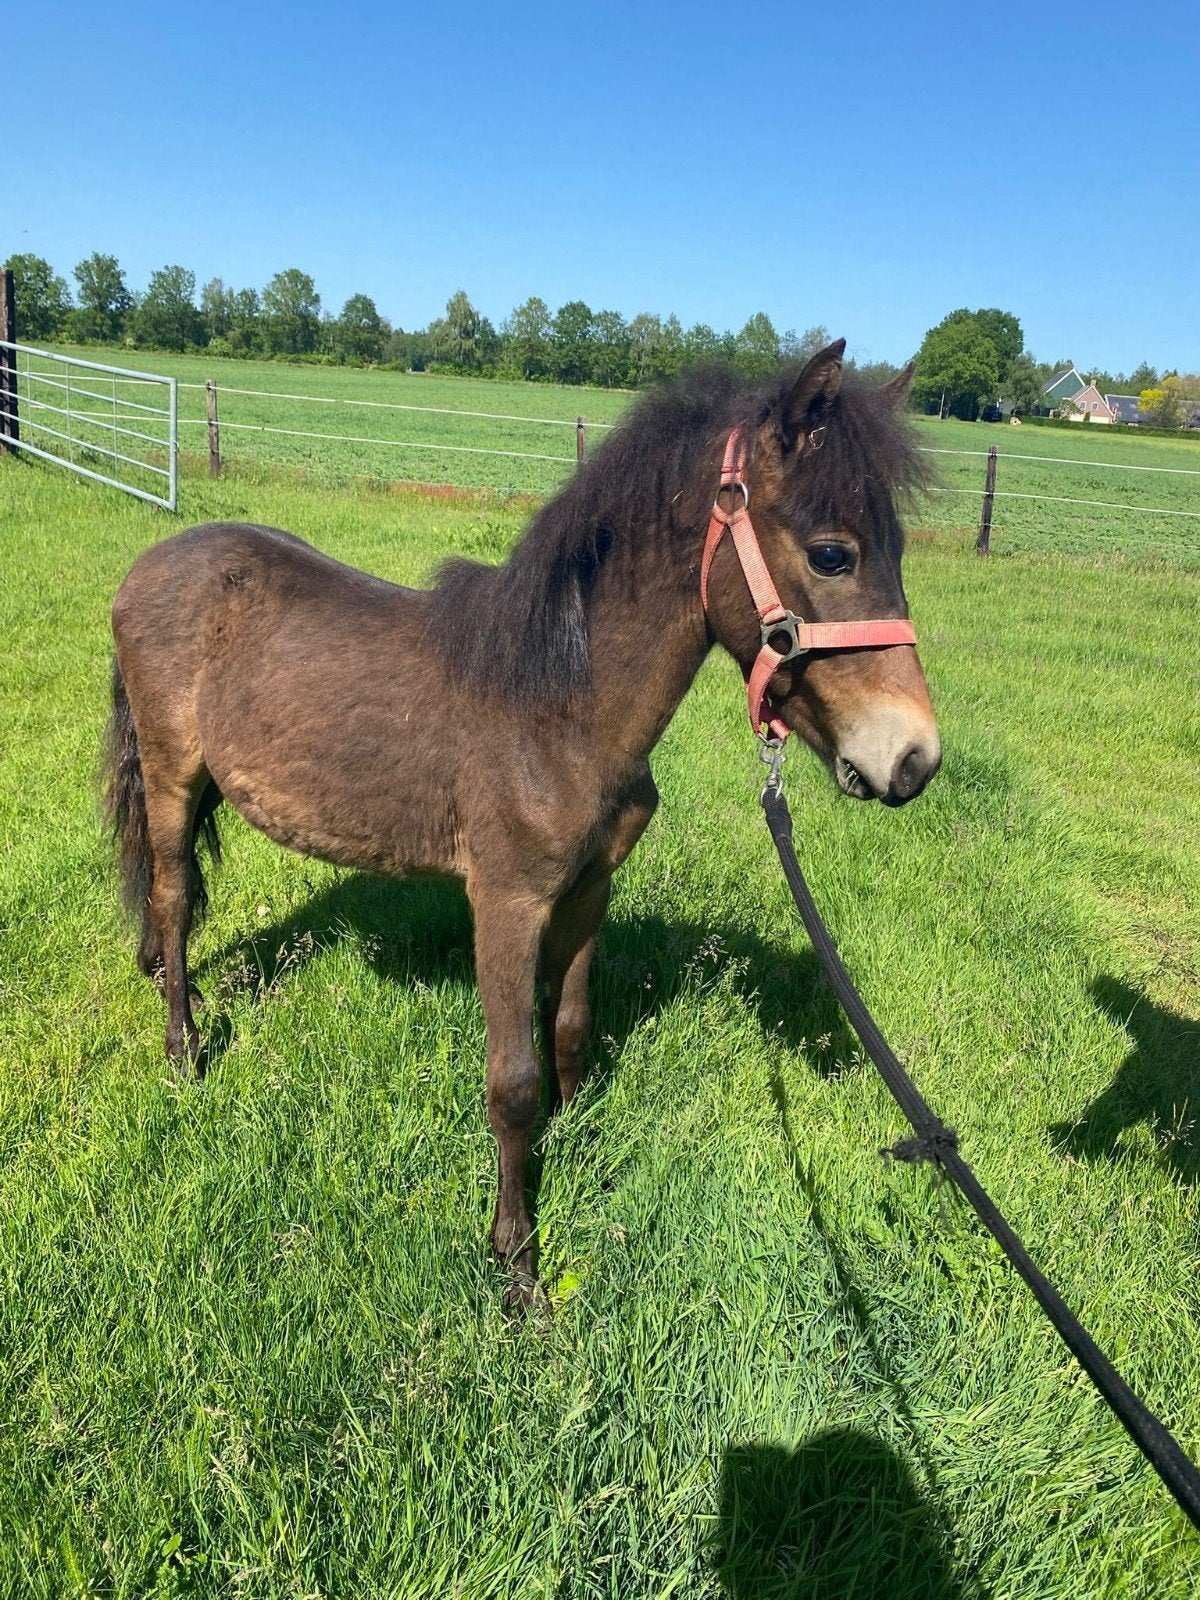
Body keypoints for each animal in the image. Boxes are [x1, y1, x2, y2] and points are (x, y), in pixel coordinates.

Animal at [103, 340, 940, 1307]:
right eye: (833, 554)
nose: (915, 759)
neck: (557, 706)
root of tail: (151, 562)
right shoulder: (504, 903)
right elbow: (512, 1084)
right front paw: (518, 1267)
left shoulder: (587, 890)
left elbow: (570, 1029)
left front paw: (578, 1143)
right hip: (171, 774)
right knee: (171, 894)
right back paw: (184, 1050)